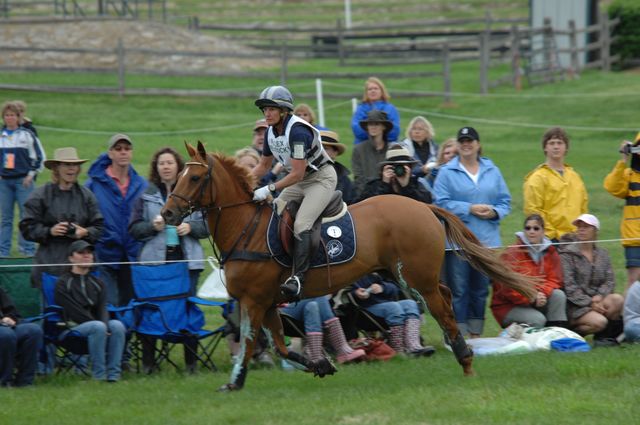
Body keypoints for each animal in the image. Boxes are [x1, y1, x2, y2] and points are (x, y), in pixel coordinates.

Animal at [161, 142, 536, 390]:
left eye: (194, 179)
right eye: (178, 174)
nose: (167, 213)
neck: (245, 227)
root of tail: (423, 207)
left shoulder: (254, 301)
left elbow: (251, 342)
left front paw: (235, 382)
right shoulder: (265, 303)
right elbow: (279, 345)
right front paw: (321, 364)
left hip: (415, 277)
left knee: (441, 306)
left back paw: (465, 359)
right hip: (405, 275)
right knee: (443, 296)